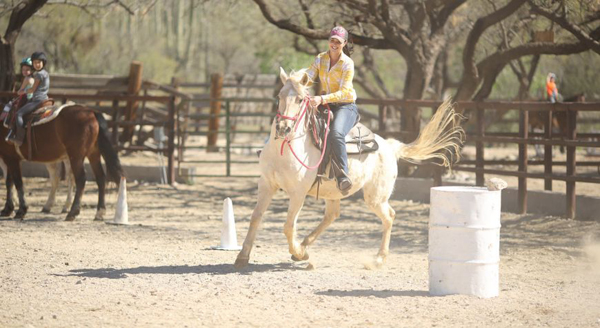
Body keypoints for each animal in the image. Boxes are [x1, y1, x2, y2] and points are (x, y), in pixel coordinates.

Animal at [234, 69, 464, 270]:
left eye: (300, 99)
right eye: (279, 96)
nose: (283, 129)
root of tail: (390, 146)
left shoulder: (298, 193)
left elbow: (288, 226)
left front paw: (297, 251)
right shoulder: (266, 184)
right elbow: (255, 217)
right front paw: (242, 256)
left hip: (375, 197)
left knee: (389, 216)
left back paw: (377, 259)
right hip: (333, 191)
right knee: (332, 215)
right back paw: (306, 246)